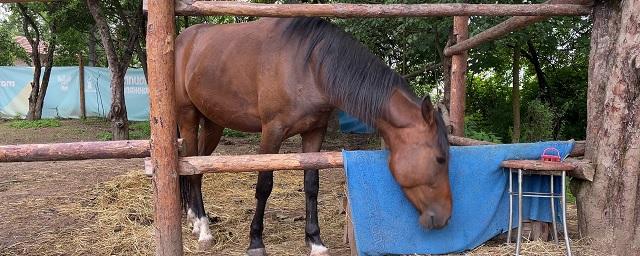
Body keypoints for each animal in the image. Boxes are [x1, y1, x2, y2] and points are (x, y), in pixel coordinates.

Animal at [174, 18, 450, 256]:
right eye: (440, 158)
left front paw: (315, 241)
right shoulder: (272, 132)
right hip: (188, 117)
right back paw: (203, 230)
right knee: (191, 167)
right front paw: (255, 241)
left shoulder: (314, 132)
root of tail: (182, 40)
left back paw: (195, 220)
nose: (446, 217)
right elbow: (264, 185)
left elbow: (311, 185)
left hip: (214, 123)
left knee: (199, 167)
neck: (310, 66)